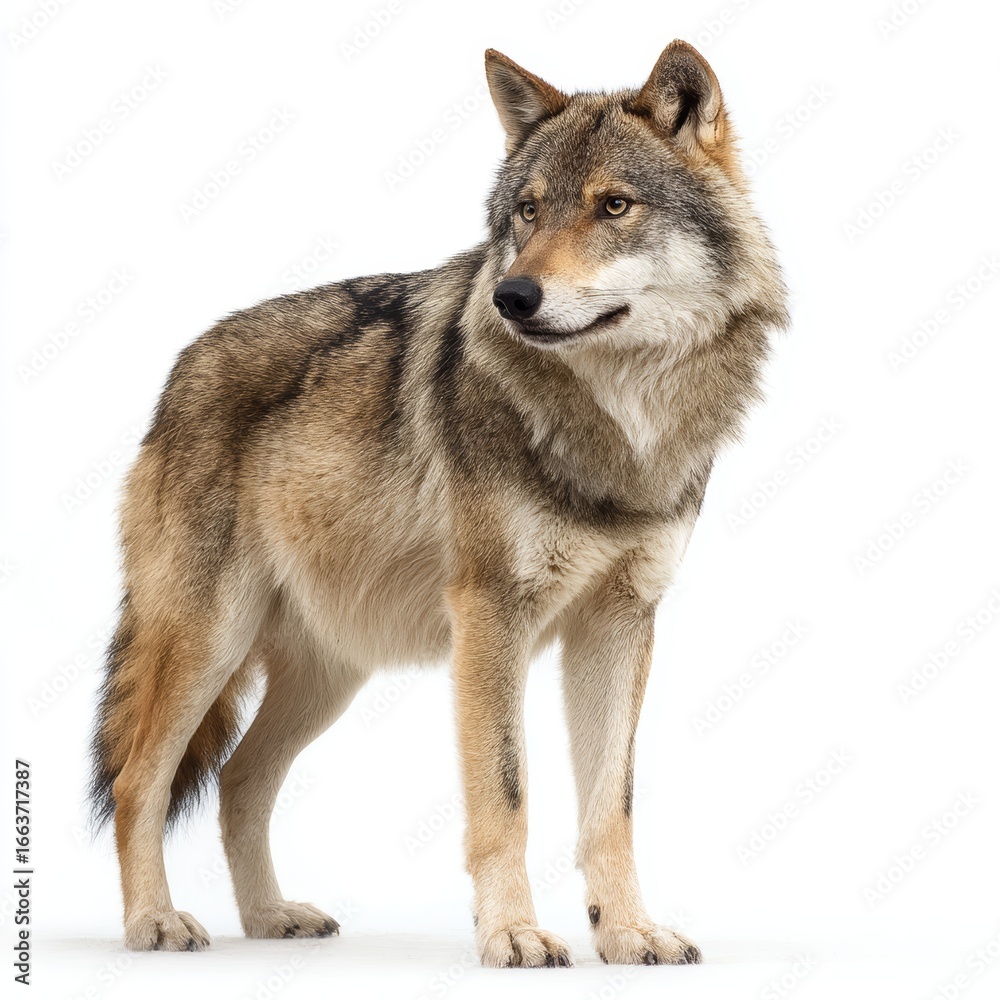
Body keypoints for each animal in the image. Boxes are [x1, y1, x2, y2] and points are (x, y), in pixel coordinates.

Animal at [88, 39, 787, 967]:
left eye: (614, 205)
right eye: (527, 211)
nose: (513, 297)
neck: (618, 424)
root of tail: (176, 372)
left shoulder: (620, 621)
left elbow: (612, 805)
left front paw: (629, 933)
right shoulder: (491, 616)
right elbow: (507, 796)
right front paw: (515, 934)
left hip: (327, 675)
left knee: (239, 780)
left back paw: (272, 918)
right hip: (211, 640)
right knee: (142, 780)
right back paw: (153, 923)